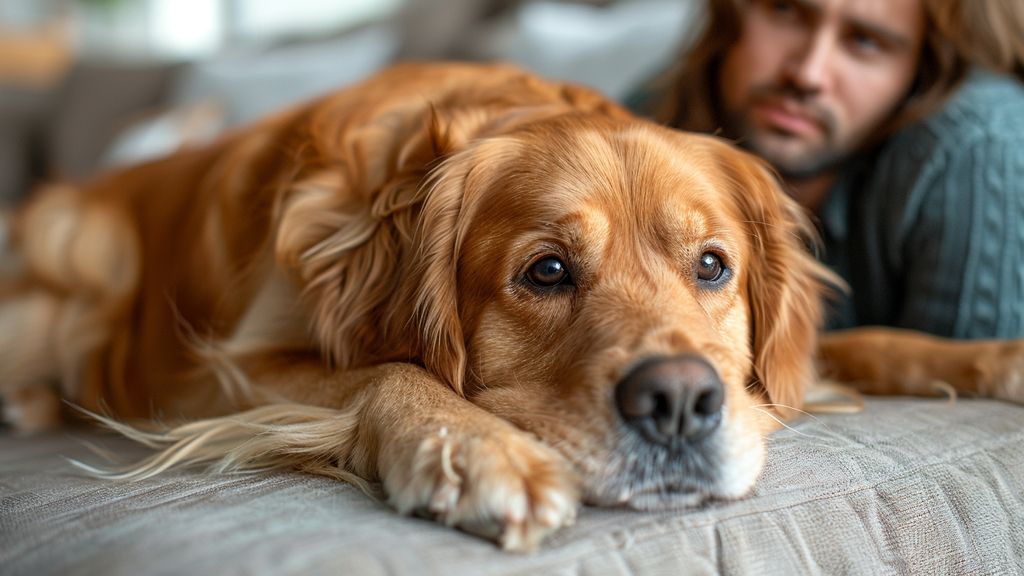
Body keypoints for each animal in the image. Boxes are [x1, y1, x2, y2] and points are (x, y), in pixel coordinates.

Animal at [0, 62, 1019, 545]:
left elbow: (868, 338)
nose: (680, 403)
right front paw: (481, 452)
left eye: (713, 266)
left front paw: (991, 357)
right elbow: (385, 369)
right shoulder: (208, 374)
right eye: (548, 272)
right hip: (76, 265)